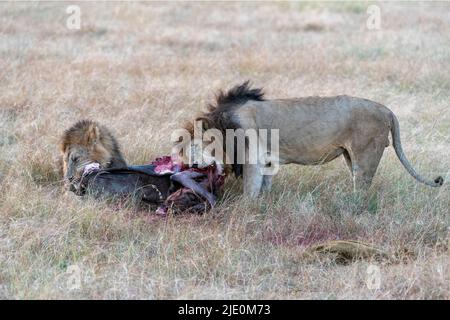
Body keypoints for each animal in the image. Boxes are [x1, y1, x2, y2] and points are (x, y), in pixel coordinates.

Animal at [184, 81, 442, 196]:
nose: (190, 165)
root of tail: (387, 110)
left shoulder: (252, 158)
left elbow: (250, 188)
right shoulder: (267, 160)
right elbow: (263, 187)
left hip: (365, 155)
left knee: (363, 188)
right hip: (351, 156)